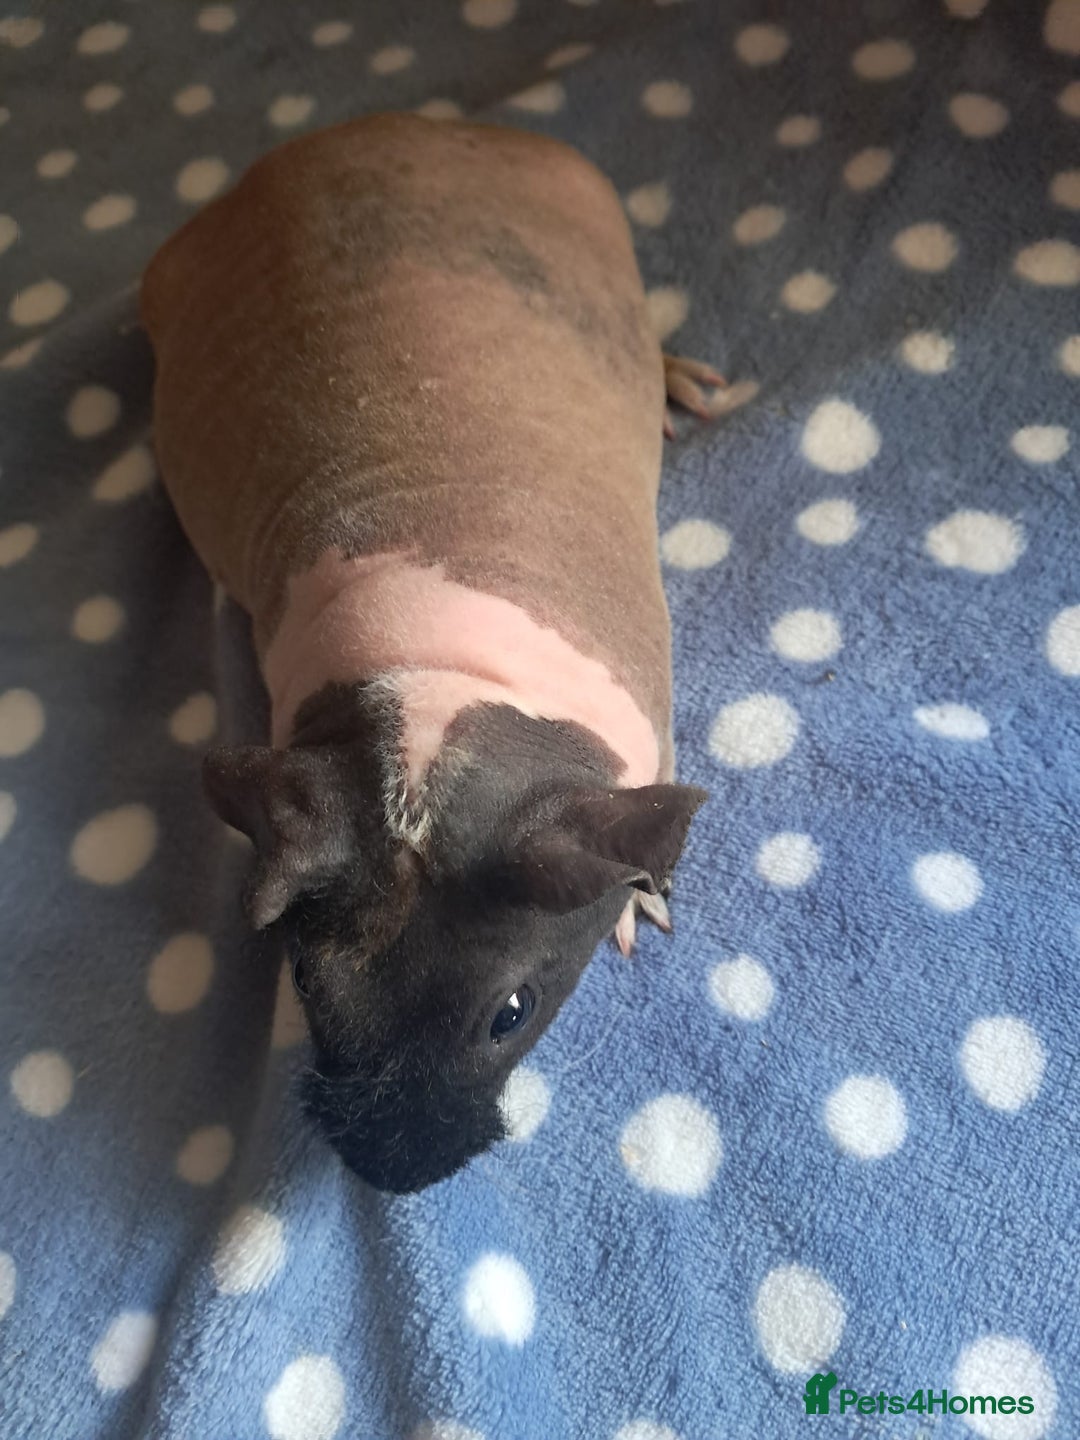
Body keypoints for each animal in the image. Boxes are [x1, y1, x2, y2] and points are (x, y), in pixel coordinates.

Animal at [140, 113, 717, 1193]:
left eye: (510, 1015)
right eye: (307, 990)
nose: (397, 1174)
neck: (442, 688)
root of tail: (385, 125)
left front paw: (636, 906)